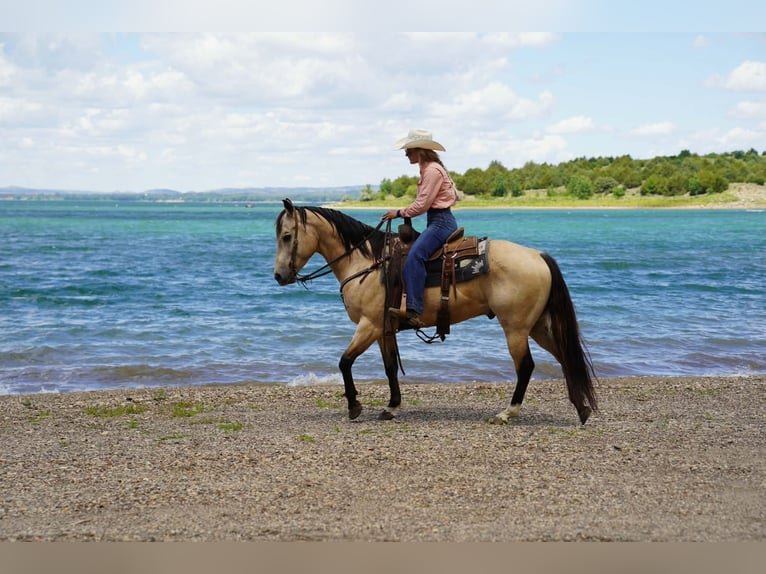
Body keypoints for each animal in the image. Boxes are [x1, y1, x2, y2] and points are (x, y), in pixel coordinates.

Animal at [273, 198, 597, 425]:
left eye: (287, 236)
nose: (278, 276)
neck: (367, 263)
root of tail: (538, 256)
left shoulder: (369, 325)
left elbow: (345, 362)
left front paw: (354, 406)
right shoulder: (384, 329)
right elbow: (390, 368)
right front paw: (391, 407)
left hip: (516, 328)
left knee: (526, 367)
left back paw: (507, 413)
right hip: (539, 326)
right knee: (565, 356)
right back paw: (581, 408)